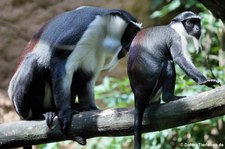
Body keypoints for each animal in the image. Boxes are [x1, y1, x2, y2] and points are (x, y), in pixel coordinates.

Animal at [8, 6, 142, 133]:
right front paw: (65, 112)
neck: (103, 31)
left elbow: (87, 77)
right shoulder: (81, 31)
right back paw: (38, 114)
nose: (127, 48)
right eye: (131, 32)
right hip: (20, 102)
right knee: (32, 62)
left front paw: (91, 108)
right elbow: (60, 61)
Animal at [127, 11, 221, 149]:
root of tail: (138, 92)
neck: (174, 27)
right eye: (190, 22)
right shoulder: (176, 37)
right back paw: (170, 97)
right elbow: (179, 58)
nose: (197, 28)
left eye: (197, 22)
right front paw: (205, 80)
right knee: (169, 63)